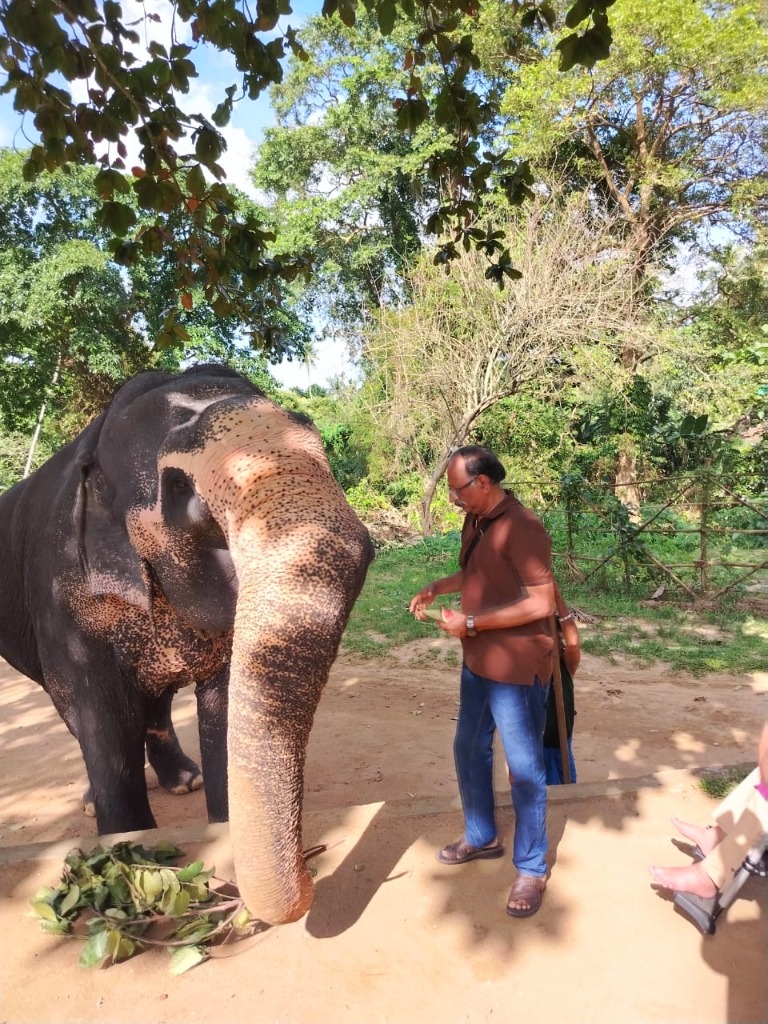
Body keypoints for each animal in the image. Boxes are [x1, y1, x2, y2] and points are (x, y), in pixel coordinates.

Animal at [0, 364, 373, 925]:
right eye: (177, 485)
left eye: (319, 447)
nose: (313, 864)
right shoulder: (62, 589)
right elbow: (102, 714)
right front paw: (124, 851)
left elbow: (223, 700)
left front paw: (220, 827)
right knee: (77, 711)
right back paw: (95, 799)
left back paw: (183, 781)